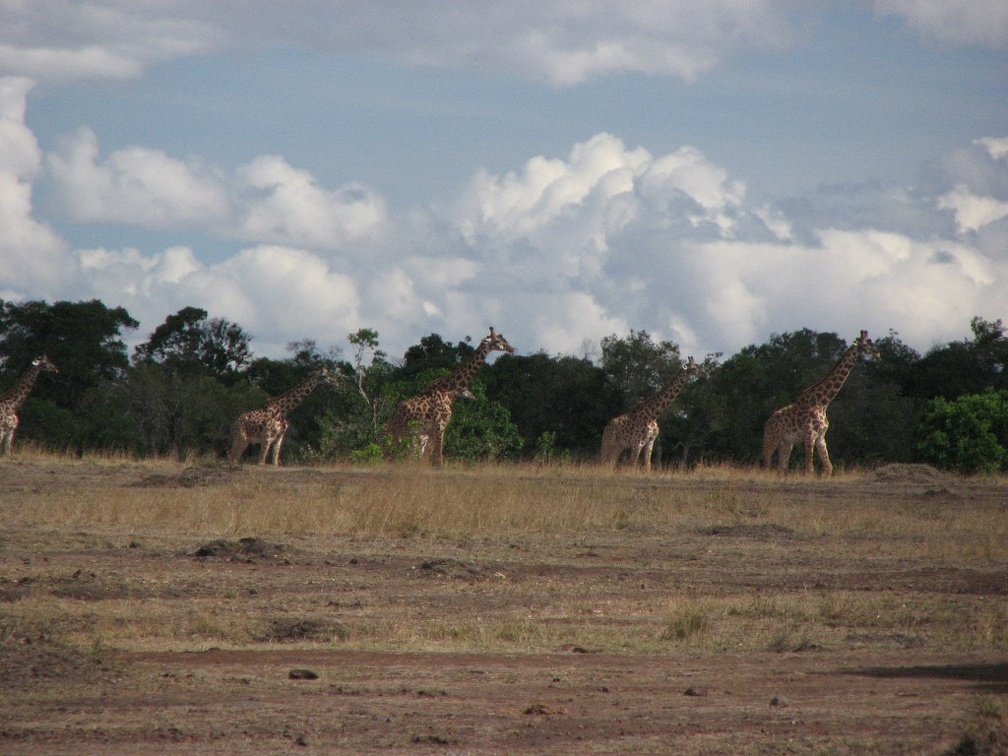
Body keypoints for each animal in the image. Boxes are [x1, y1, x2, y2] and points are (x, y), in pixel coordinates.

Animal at [381, 326, 516, 467]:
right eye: (498, 341)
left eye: (504, 339)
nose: (512, 349)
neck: (447, 390)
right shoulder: (439, 425)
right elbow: (438, 459)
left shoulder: (436, 429)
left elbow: (431, 458)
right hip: (402, 434)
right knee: (395, 455)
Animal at [762, 330, 883, 475]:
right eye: (865, 345)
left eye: (871, 342)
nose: (878, 354)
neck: (822, 403)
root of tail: (767, 423)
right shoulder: (809, 435)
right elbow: (809, 469)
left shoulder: (820, 437)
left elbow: (828, 467)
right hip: (772, 438)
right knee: (766, 463)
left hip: (786, 442)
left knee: (782, 467)